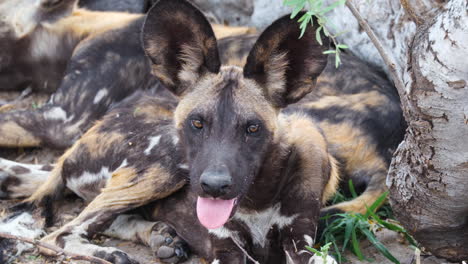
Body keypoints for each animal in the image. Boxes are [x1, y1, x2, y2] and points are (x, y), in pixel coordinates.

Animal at [0, 0, 404, 264]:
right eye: (196, 123)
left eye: (253, 129)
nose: (214, 185)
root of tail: (389, 150)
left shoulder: (62, 118)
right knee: (67, 210)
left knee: (63, 213)